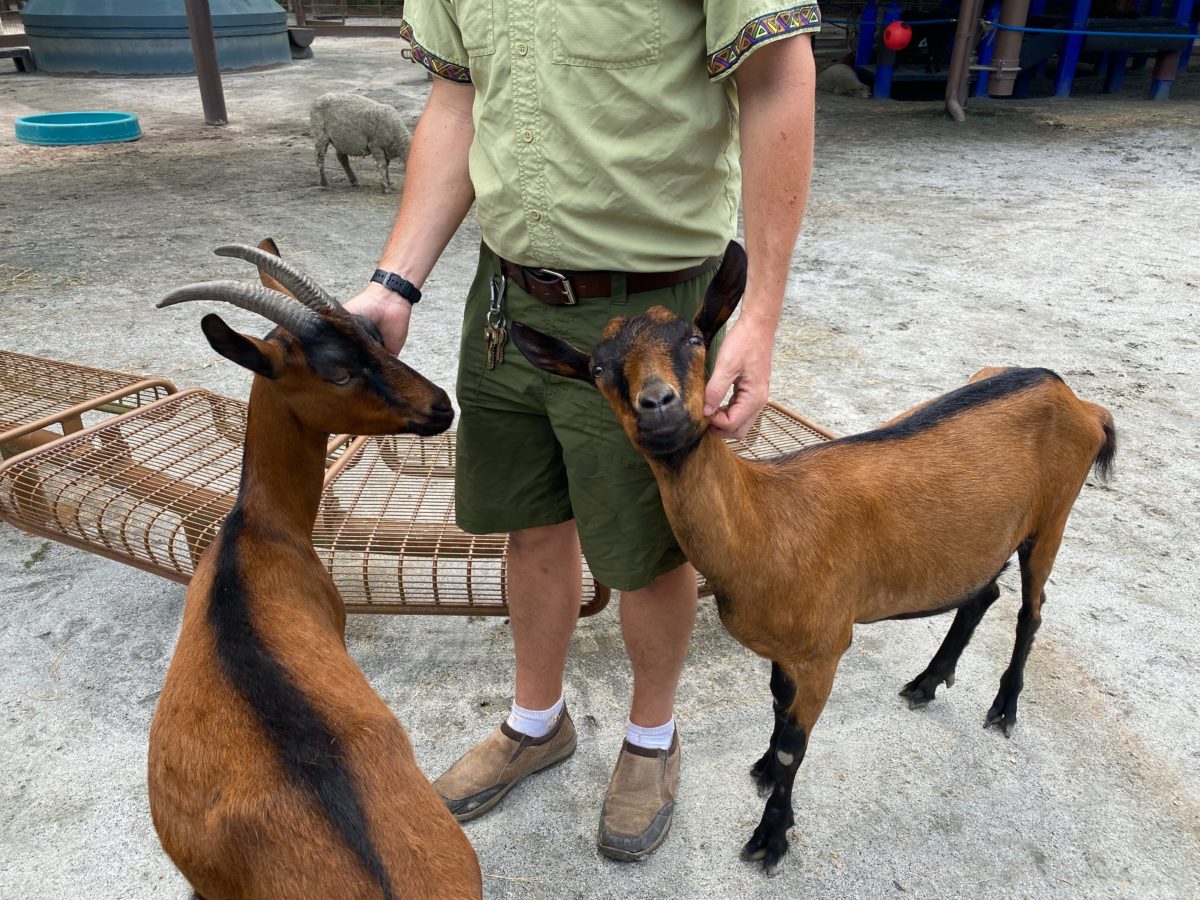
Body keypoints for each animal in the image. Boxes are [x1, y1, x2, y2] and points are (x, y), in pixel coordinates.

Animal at [509, 241, 1116, 876]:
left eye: (696, 339)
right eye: (599, 370)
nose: (658, 406)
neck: (765, 523)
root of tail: (1078, 400)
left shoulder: (826, 647)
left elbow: (792, 744)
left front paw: (769, 837)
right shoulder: (786, 646)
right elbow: (778, 709)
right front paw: (762, 773)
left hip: (1054, 515)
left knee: (1031, 610)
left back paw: (1003, 707)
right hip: (986, 539)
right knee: (984, 593)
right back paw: (927, 682)